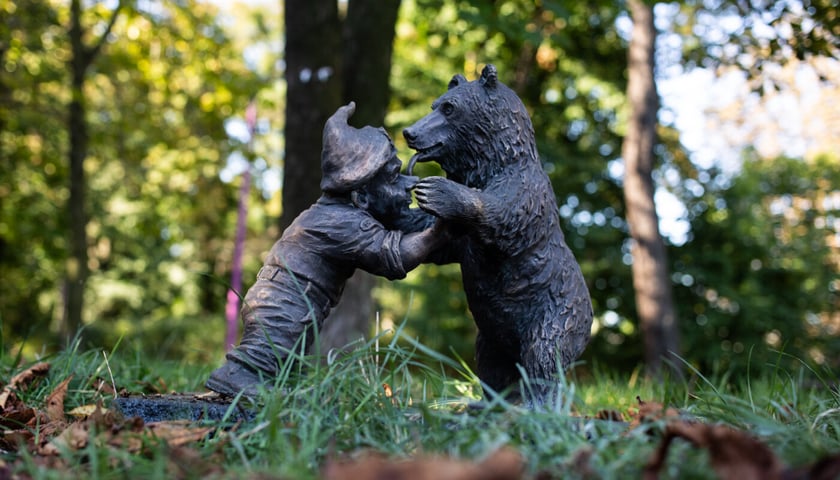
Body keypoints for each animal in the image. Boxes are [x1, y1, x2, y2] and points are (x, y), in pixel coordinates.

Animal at [404, 63, 592, 404]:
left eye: (450, 108)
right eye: (434, 105)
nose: (410, 132)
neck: (488, 165)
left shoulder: (528, 190)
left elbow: (504, 217)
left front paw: (438, 190)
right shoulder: (460, 242)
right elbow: (432, 238)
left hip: (558, 312)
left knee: (544, 356)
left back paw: (536, 404)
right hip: (491, 334)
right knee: (492, 365)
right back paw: (493, 403)